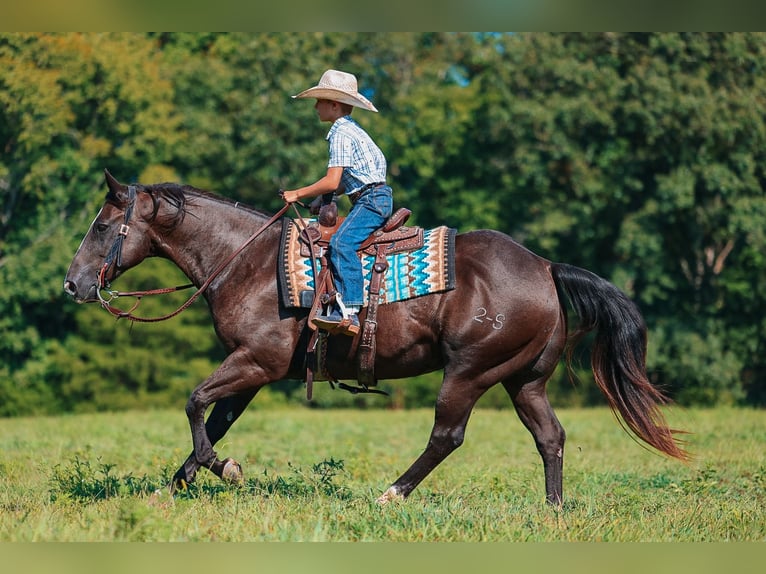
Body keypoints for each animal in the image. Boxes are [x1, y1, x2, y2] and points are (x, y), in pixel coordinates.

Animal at [64, 170, 688, 505]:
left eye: (103, 225)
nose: (73, 284)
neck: (247, 262)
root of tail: (545, 267)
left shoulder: (256, 362)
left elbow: (195, 403)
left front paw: (224, 470)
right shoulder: (253, 372)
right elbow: (213, 421)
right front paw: (177, 484)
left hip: (469, 373)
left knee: (447, 436)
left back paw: (393, 493)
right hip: (523, 379)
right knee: (550, 436)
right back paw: (553, 508)